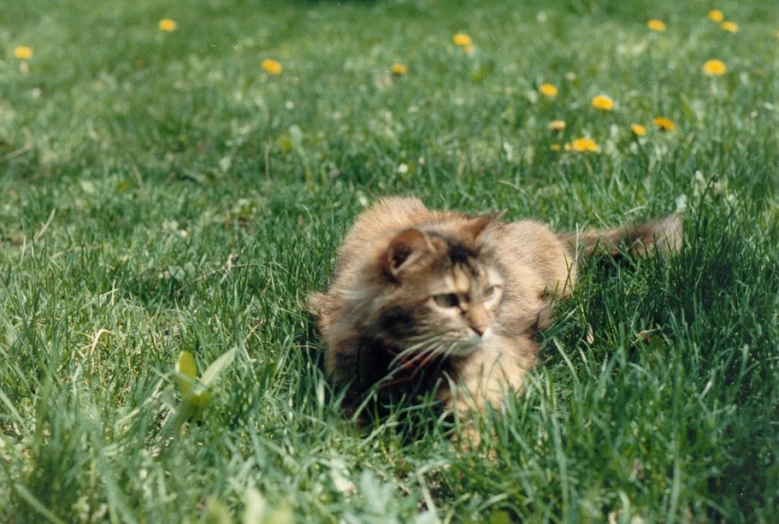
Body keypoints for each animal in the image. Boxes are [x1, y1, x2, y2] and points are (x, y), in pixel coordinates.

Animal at [308, 196, 680, 438]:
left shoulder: (496, 367)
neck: (411, 363)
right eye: (447, 300)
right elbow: (346, 423)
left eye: (489, 292)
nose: (482, 327)